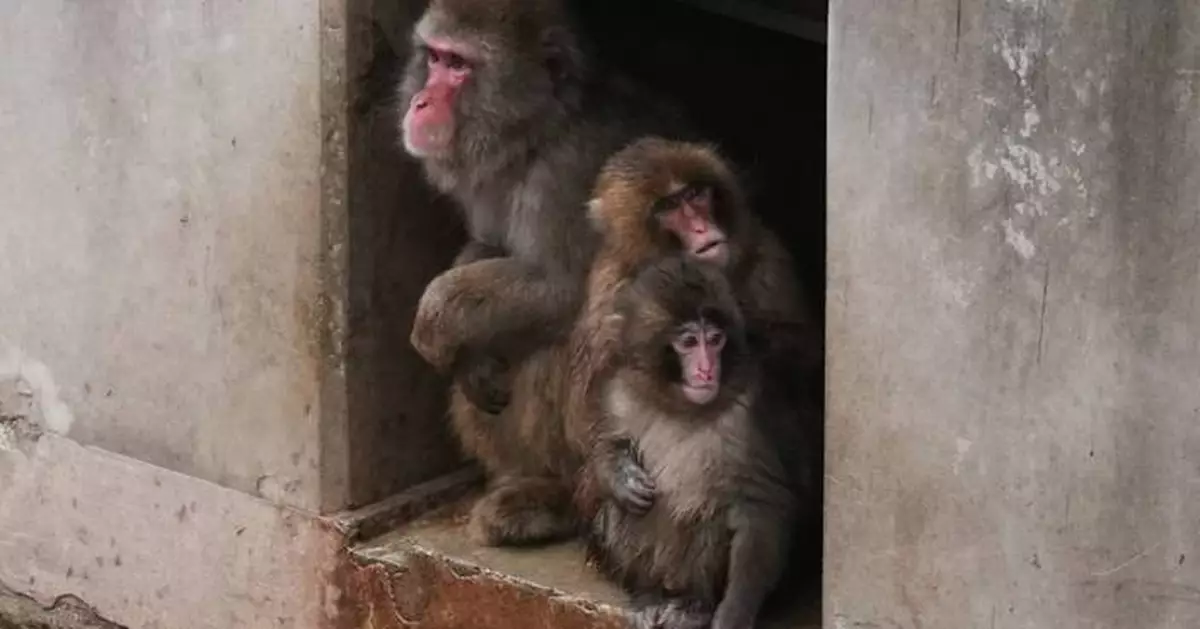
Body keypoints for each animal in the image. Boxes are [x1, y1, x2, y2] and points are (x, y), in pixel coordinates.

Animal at [396, 0, 695, 546]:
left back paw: (561, 499)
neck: (537, 136)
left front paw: (437, 318)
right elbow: (488, 247)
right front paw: (470, 356)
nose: (422, 101)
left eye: (459, 65)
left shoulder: (569, 174)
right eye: (434, 57)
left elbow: (568, 289)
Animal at [575, 256, 808, 629]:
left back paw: (694, 603)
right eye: (688, 342)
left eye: (714, 340)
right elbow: (597, 446)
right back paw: (650, 593)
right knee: (621, 508)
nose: (706, 371)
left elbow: (761, 505)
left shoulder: (746, 416)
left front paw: (734, 612)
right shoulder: (619, 390)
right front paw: (619, 474)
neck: (679, 404)